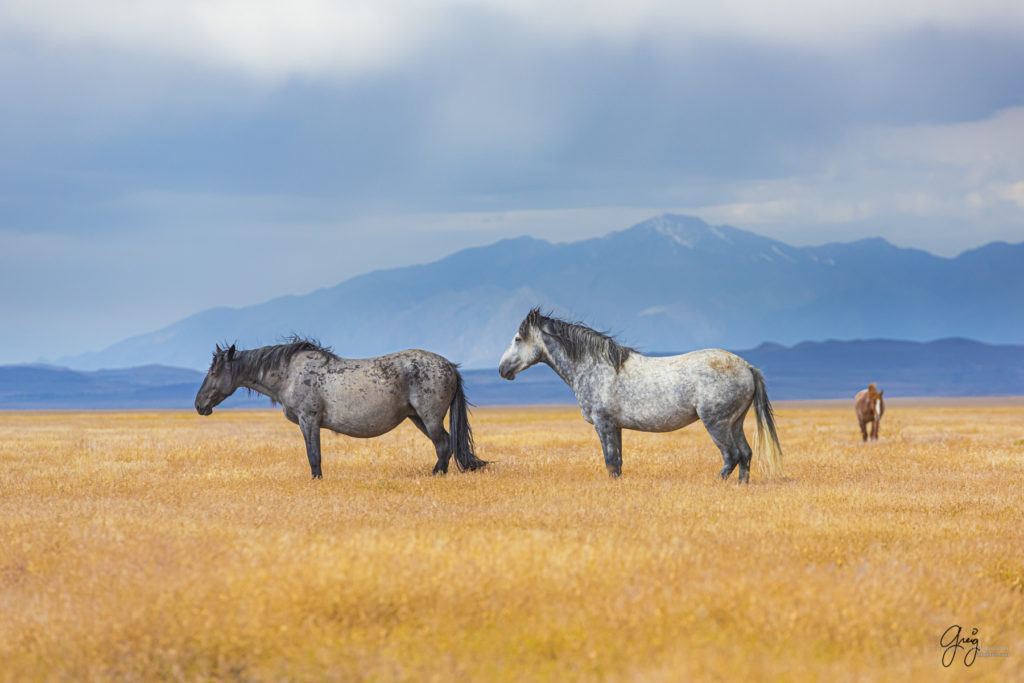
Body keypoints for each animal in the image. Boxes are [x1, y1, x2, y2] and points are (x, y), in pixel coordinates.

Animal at [200, 339, 491, 479]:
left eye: (214, 371)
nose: (199, 404)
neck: (289, 373)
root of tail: (450, 366)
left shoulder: (309, 420)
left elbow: (314, 456)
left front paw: (317, 481)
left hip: (429, 418)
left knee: (443, 445)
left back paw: (434, 476)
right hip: (417, 417)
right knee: (445, 444)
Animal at [499, 309, 786, 481]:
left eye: (517, 339)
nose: (502, 369)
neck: (595, 367)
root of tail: (747, 367)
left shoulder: (603, 424)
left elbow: (610, 461)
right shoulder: (615, 427)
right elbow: (617, 463)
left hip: (716, 423)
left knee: (732, 456)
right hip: (735, 422)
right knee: (746, 454)